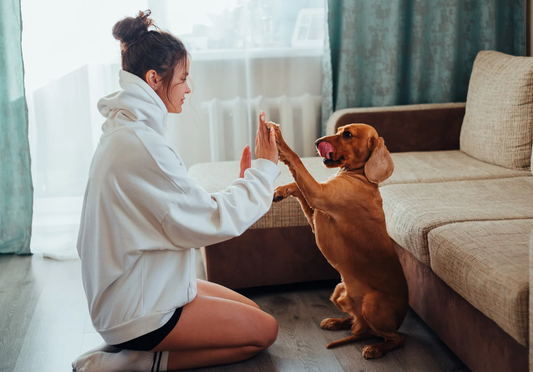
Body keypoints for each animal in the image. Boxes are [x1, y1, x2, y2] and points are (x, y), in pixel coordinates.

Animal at [270, 123, 408, 358]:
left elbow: (296, 160)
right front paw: (280, 190)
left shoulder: (318, 194)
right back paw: (336, 322)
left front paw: (279, 140)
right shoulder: (315, 211)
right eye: (339, 129)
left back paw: (375, 349)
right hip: (339, 290)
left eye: (348, 134)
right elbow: (298, 185)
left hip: (371, 304)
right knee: (357, 323)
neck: (360, 176)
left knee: (396, 339)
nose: (317, 142)